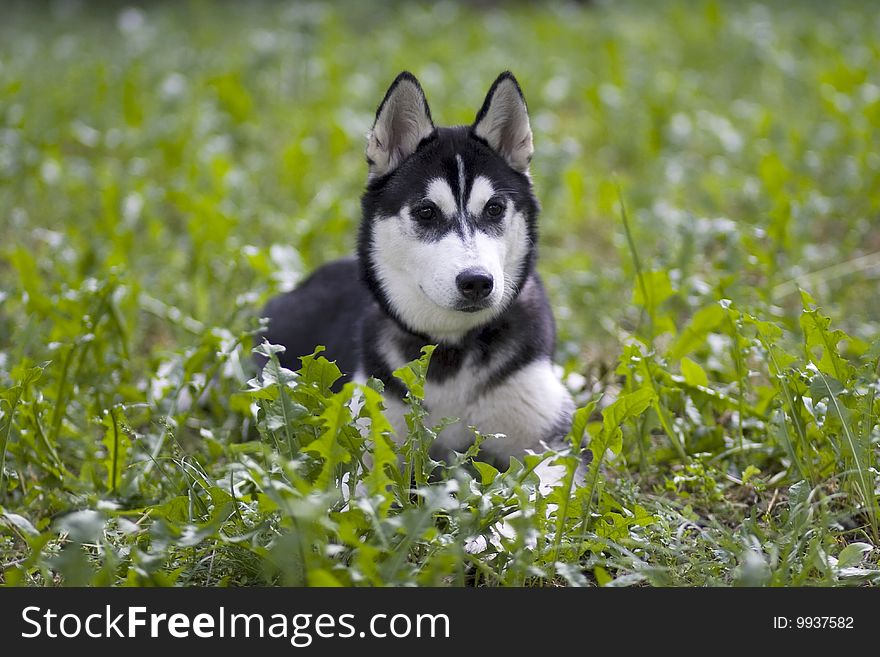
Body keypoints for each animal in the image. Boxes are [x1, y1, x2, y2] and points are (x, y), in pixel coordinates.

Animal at [258, 72, 576, 468]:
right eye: (426, 212)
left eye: (495, 208)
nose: (477, 282)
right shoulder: (367, 445)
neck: (451, 348)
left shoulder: (551, 443)